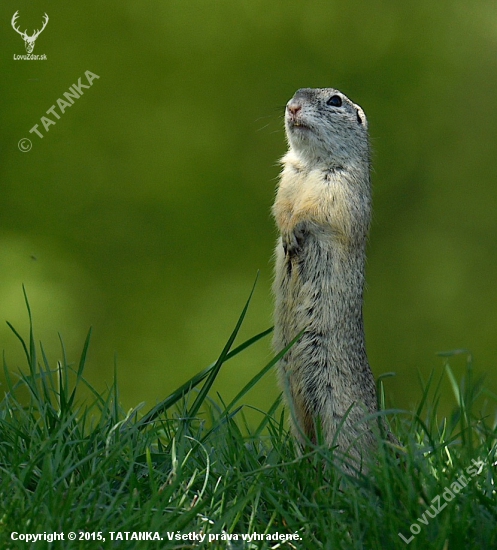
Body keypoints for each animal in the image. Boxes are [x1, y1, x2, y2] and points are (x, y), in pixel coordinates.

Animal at [272, 87, 376, 466]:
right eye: (294, 94)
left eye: (334, 101)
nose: (292, 107)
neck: (312, 164)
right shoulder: (287, 179)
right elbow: (281, 209)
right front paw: (285, 234)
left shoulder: (341, 187)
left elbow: (316, 213)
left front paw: (295, 232)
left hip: (339, 412)